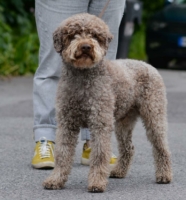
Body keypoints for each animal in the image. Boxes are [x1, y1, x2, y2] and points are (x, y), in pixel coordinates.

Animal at [42, 12, 172, 192]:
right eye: (73, 35)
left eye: (95, 36)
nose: (86, 47)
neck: (83, 79)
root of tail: (147, 65)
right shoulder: (67, 124)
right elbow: (62, 153)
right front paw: (55, 179)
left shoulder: (100, 123)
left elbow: (99, 154)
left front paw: (97, 182)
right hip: (123, 122)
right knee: (128, 148)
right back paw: (118, 171)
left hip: (154, 115)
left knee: (161, 146)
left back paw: (164, 175)